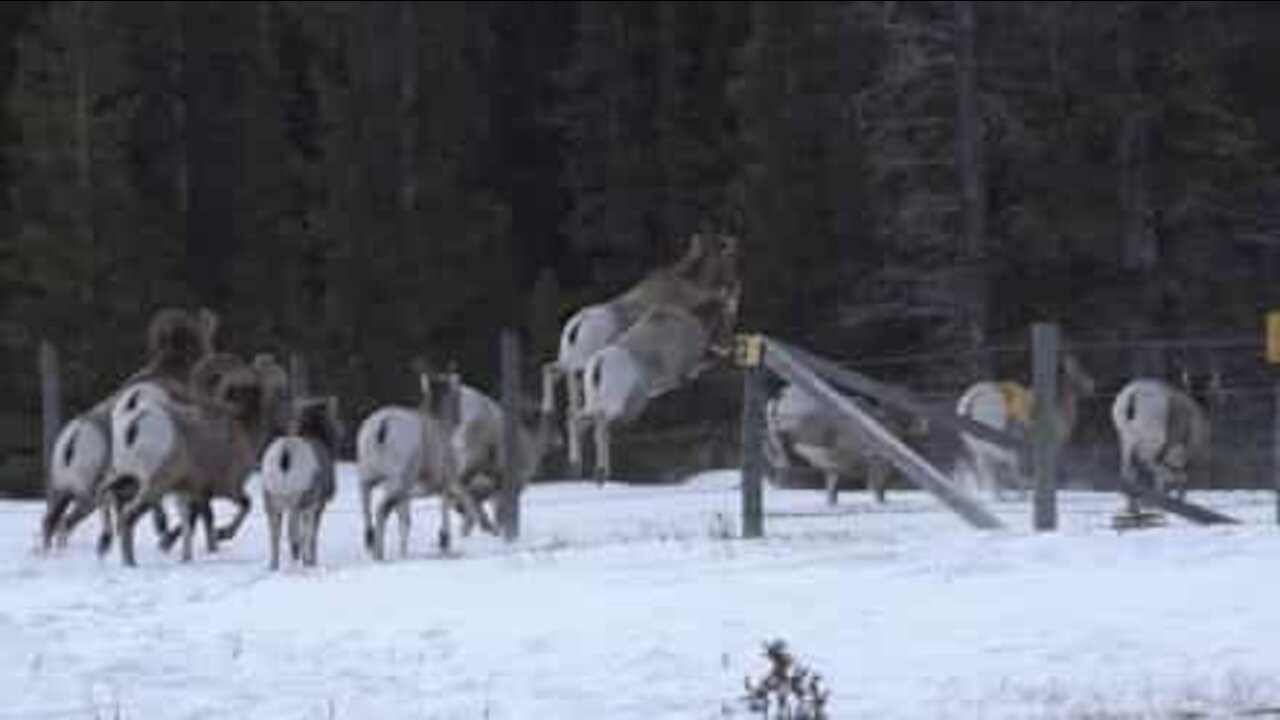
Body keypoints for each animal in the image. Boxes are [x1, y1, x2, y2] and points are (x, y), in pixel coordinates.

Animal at [259, 394, 343, 568]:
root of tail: (285, 452)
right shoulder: (317, 506)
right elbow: (310, 535)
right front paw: (311, 562)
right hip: (297, 502)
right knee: (294, 533)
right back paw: (298, 562)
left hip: (271, 501)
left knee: (275, 535)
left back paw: (274, 566)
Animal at [540, 233, 742, 474]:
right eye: (729, 259)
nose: (727, 347)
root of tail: (576, 327)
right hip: (584, 375)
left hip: (570, 366)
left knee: (554, 378)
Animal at [762, 381, 926, 504]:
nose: (922, 422)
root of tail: (782, 394)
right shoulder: (877, 461)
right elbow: (877, 484)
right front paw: (880, 499)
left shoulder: (835, 463)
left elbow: (832, 482)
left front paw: (831, 500)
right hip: (805, 425)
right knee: (780, 435)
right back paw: (782, 456)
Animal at [957, 353, 1095, 499]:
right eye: (1079, 370)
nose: (1092, 386)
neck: (1058, 407)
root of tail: (971, 400)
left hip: (980, 449)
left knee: (987, 471)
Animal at [1111, 371, 1208, 507]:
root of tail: (1134, 394)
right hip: (1152, 442)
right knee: (1150, 464)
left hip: (1127, 440)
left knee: (1128, 472)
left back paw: (1133, 506)